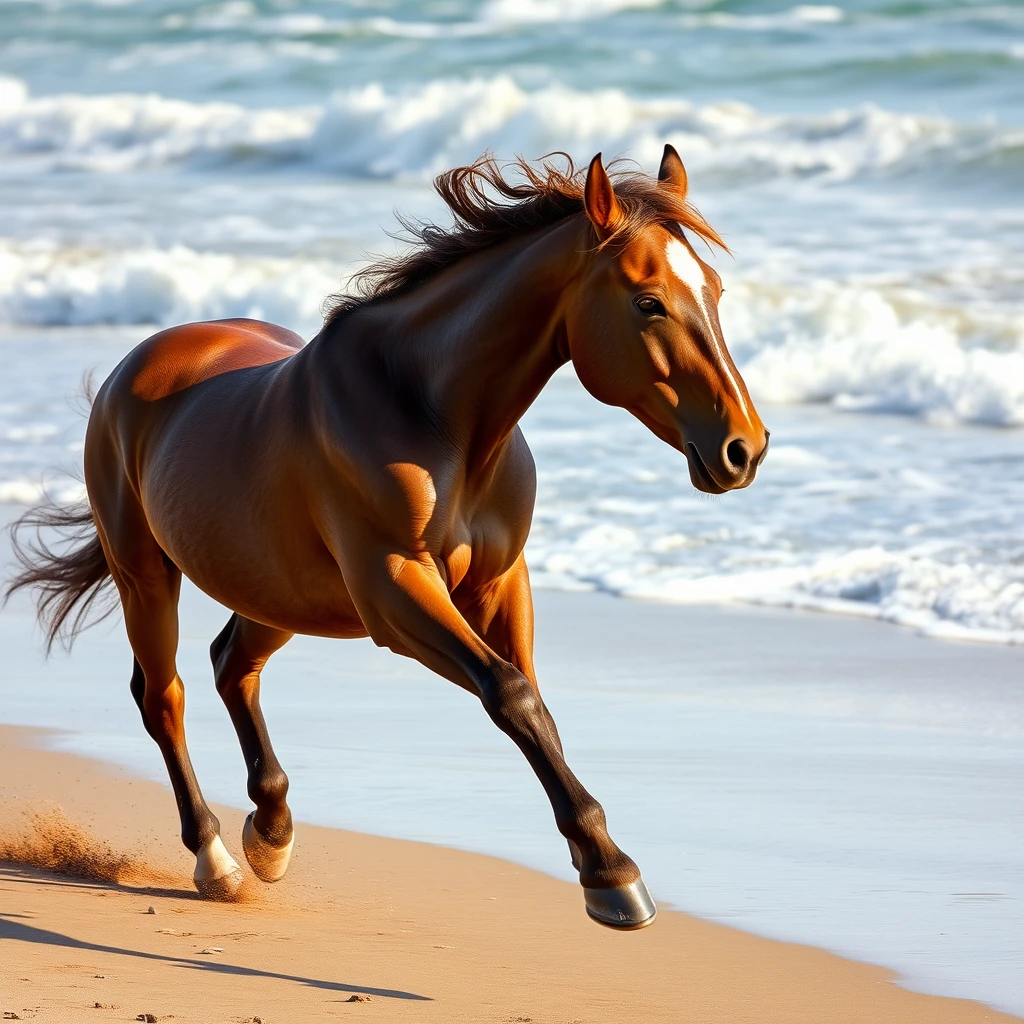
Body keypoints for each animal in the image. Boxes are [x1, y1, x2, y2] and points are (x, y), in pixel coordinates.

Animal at [6, 148, 761, 933]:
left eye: (714, 290)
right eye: (648, 302)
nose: (744, 448)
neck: (436, 415)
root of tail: (139, 365)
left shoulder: (499, 582)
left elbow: (533, 701)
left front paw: (601, 863)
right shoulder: (396, 588)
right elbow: (511, 694)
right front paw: (613, 876)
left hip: (282, 593)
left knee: (231, 663)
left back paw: (271, 832)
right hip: (148, 576)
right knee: (164, 696)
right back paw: (215, 860)